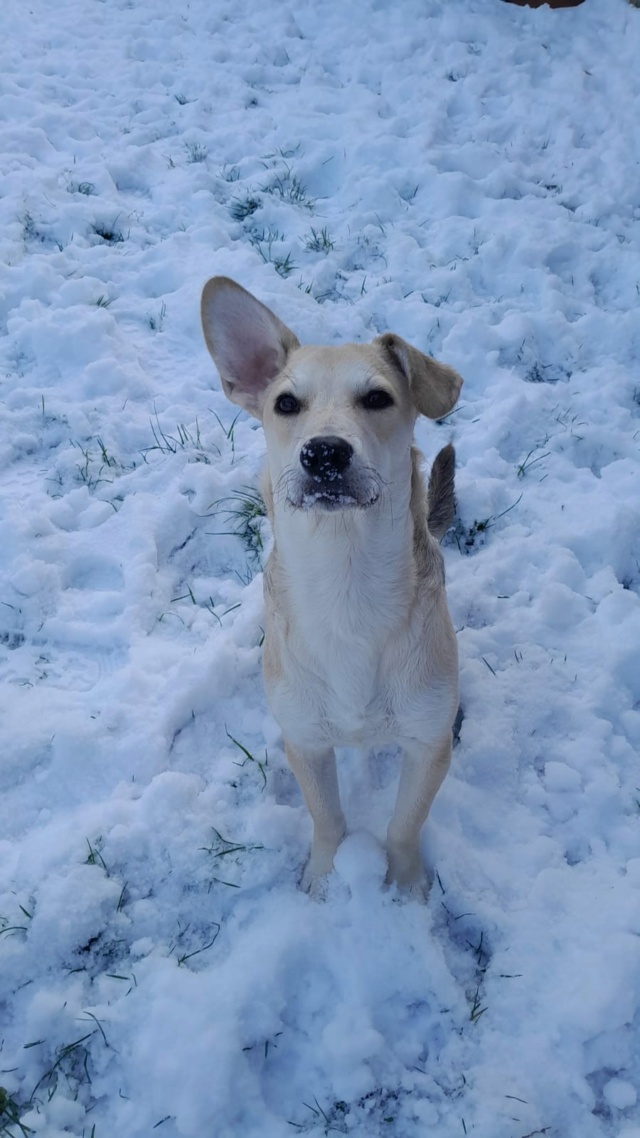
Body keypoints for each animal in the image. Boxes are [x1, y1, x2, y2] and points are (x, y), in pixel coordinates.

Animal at [199, 277, 457, 896]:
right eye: (286, 404)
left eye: (378, 398)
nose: (324, 452)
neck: (347, 582)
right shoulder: (307, 741)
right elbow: (328, 819)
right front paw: (321, 879)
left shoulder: (427, 743)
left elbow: (404, 825)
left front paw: (406, 887)